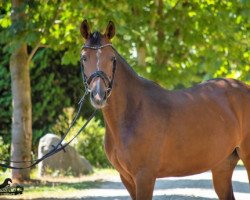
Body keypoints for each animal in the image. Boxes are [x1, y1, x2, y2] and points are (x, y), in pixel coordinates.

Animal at [79, 19, 250, 198]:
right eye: (84, 58)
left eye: (112, 58)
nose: (99, 95)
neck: (132, 112)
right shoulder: (126, 178)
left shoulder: (144, 177)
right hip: (222, 165)